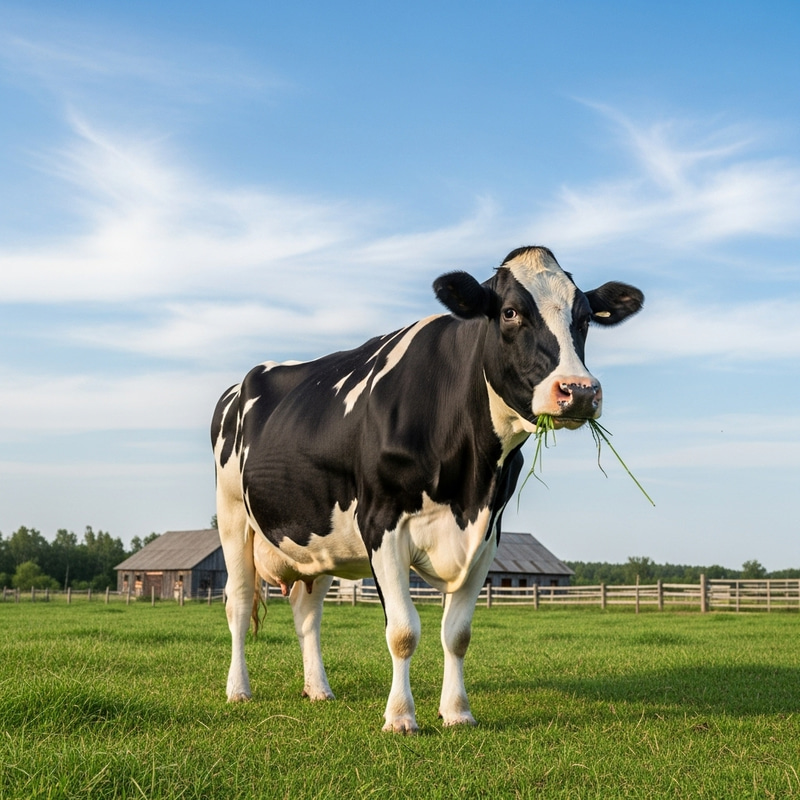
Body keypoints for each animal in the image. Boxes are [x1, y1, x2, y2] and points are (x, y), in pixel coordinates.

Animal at [211, 245, 643, 733]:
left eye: (584, 317)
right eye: (511, 312)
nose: (579, 391)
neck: (469, 480)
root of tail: (242, 382)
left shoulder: (486, 535)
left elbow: (457, 635)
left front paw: (457, 712)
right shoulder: (381, 524)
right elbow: (403, 631)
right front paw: (401, 717)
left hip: (316, 541)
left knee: (308, 615)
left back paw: (318, 689)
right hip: (233, 517)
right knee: (238, 604)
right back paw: (238, 690)